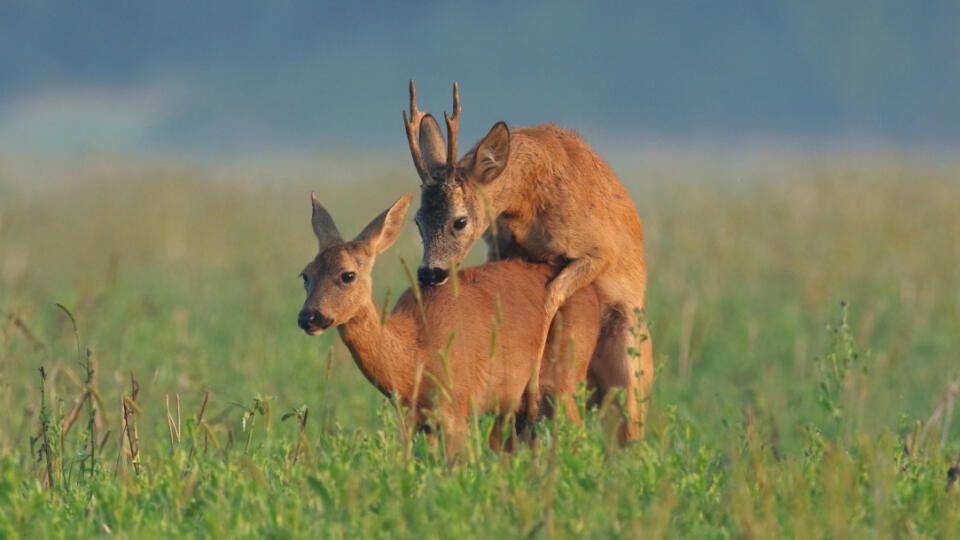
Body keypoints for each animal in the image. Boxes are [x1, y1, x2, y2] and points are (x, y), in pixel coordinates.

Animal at [298, 192, 600, 454]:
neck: (416, 356)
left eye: (347, 275)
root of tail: (591, 292)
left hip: (564, 378)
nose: (308, 317)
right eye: (305, 274)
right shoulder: (417, 422)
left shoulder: (457, 407)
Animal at [398, 80, 652, 442]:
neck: (527, 203)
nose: (429, 272)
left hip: (631, 364)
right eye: (417, 220)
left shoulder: (599, 250)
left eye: (460, 221)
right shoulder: (501, 248)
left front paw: (529, 399)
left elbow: (550, 297)